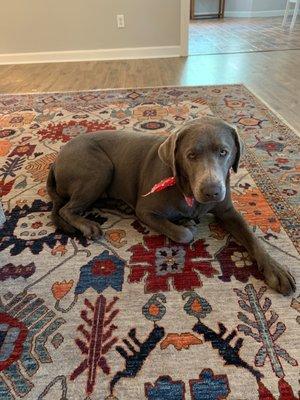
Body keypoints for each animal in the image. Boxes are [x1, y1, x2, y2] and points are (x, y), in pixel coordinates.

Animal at [47, 117, 296, 296]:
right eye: (191, 155)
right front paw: (185, 223)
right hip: (99, 168)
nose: (212, 191)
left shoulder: (228, 211)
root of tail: (57, 159)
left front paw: (277, 270)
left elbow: (252, 238)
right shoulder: (146, 211)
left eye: (223, 152)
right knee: (66, 209)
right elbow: (183, 234)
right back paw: (88, 225)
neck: (189, 192)